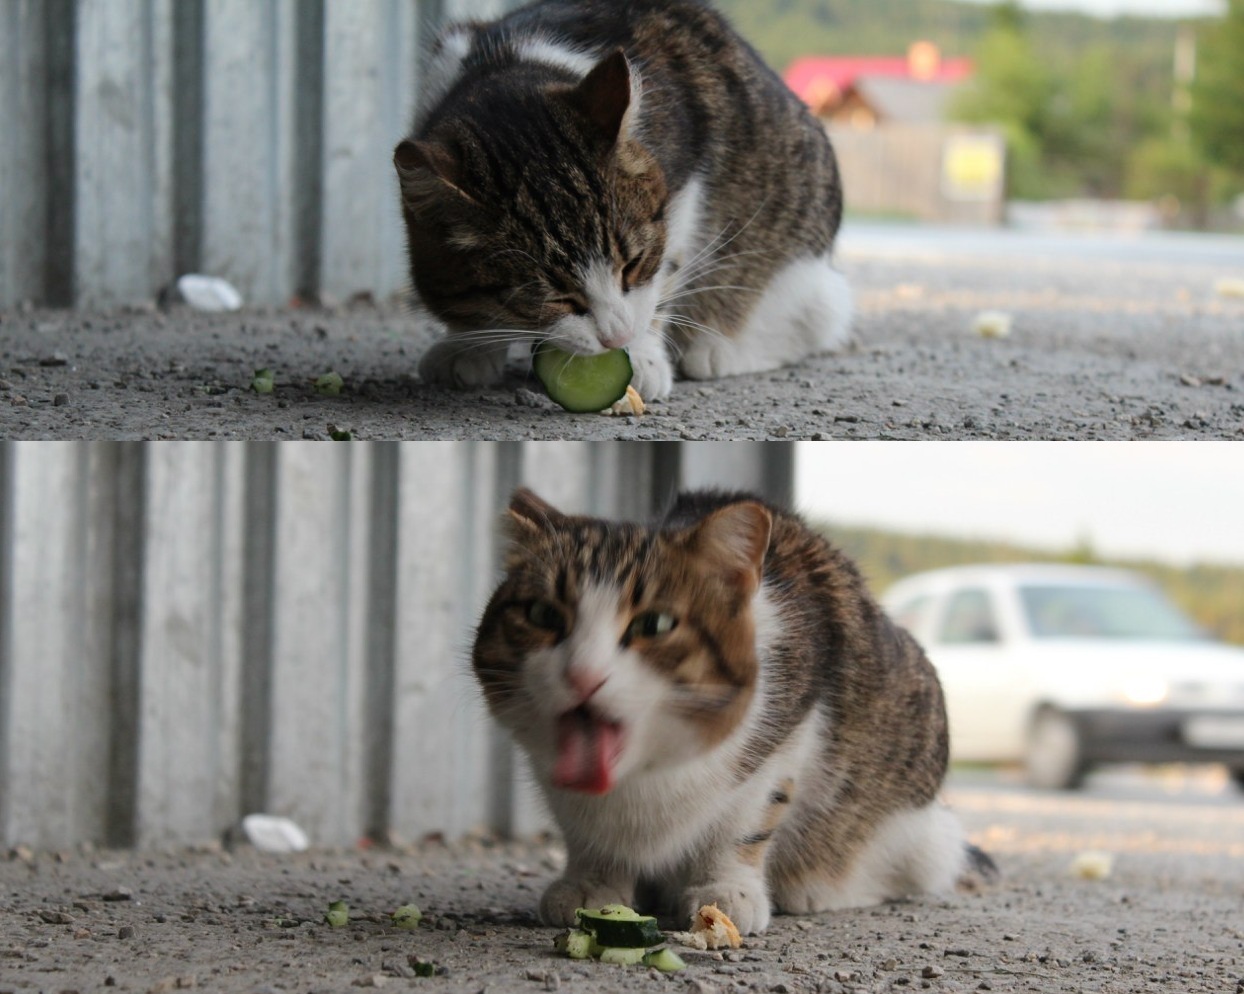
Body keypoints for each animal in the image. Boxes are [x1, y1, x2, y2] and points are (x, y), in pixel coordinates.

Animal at [393, 1, 850, 403]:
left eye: (633, 264)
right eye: (553, 296)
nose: (617, 337)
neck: (512, 64)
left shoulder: (685, 190)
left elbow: (665, 273)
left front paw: (643, 353)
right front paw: (467, 345)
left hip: (802, 273)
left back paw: (717, 346)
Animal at [470, 485, 985, 935]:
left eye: (655, 624)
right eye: (542, 615)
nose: (583, 675)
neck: (644, 778)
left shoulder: (787, 740)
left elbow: (746, 819)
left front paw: (725, 890)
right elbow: (581, 830)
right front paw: (590, 882)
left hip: (918, 826)